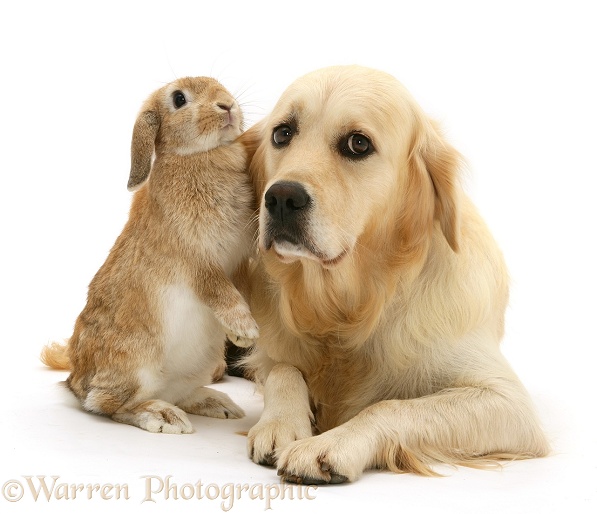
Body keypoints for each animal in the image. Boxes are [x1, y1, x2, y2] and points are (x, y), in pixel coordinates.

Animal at [39, 76, 258, 432]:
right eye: (179, 99)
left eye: (219, 84)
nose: (227, 105)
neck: (203, 156)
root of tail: (74, 381)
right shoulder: (197, 259)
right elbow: (221, 292)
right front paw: (246, 331)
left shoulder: (240, 260)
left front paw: (241, 334)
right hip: (136, 364)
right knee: (107, 404)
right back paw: (162, 416)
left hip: (201, 362)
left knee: (179, 393)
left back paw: (217, 404)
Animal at [240, 63, 548, 480]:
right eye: (282, 133)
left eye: (358, 144)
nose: (282, 197)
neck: (349, 306)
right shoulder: (273, 353)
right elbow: (282, 370)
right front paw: (281, 424)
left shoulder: (509, 403)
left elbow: (390, 406)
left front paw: (329, 444)